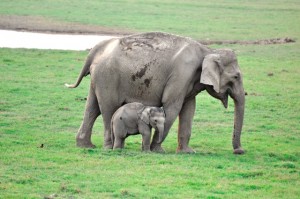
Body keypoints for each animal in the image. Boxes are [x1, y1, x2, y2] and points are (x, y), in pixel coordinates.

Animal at [64, 31, 245, 155]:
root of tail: (95, 50)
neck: (208, 50)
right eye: (236, 76)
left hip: (99, 79)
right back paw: (109, 148)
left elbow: (189, 108)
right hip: (107, 77)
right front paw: (157, 150)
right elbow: (172, 107)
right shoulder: (181, 74)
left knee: (92, 108)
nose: (239, 151)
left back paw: (86, 146)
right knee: (108, 109)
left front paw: (187, 152)